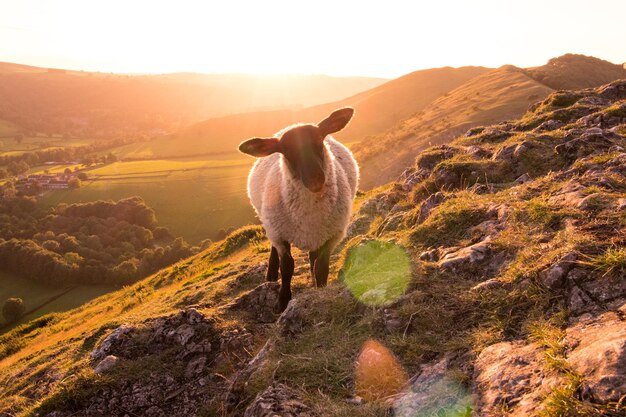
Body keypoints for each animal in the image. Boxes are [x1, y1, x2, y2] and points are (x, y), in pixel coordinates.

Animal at [238, 109, 356, 310]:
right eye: (285, 151)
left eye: (320, 139)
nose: (315, 179)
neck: (309, 214)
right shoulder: (280, 234)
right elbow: (287, 267)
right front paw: (282, 301)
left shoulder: (332, 235)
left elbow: (321, 266)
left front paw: (320, 288)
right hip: (270, 221)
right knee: (273, 247)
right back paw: (271, 274)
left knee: (312, 256)